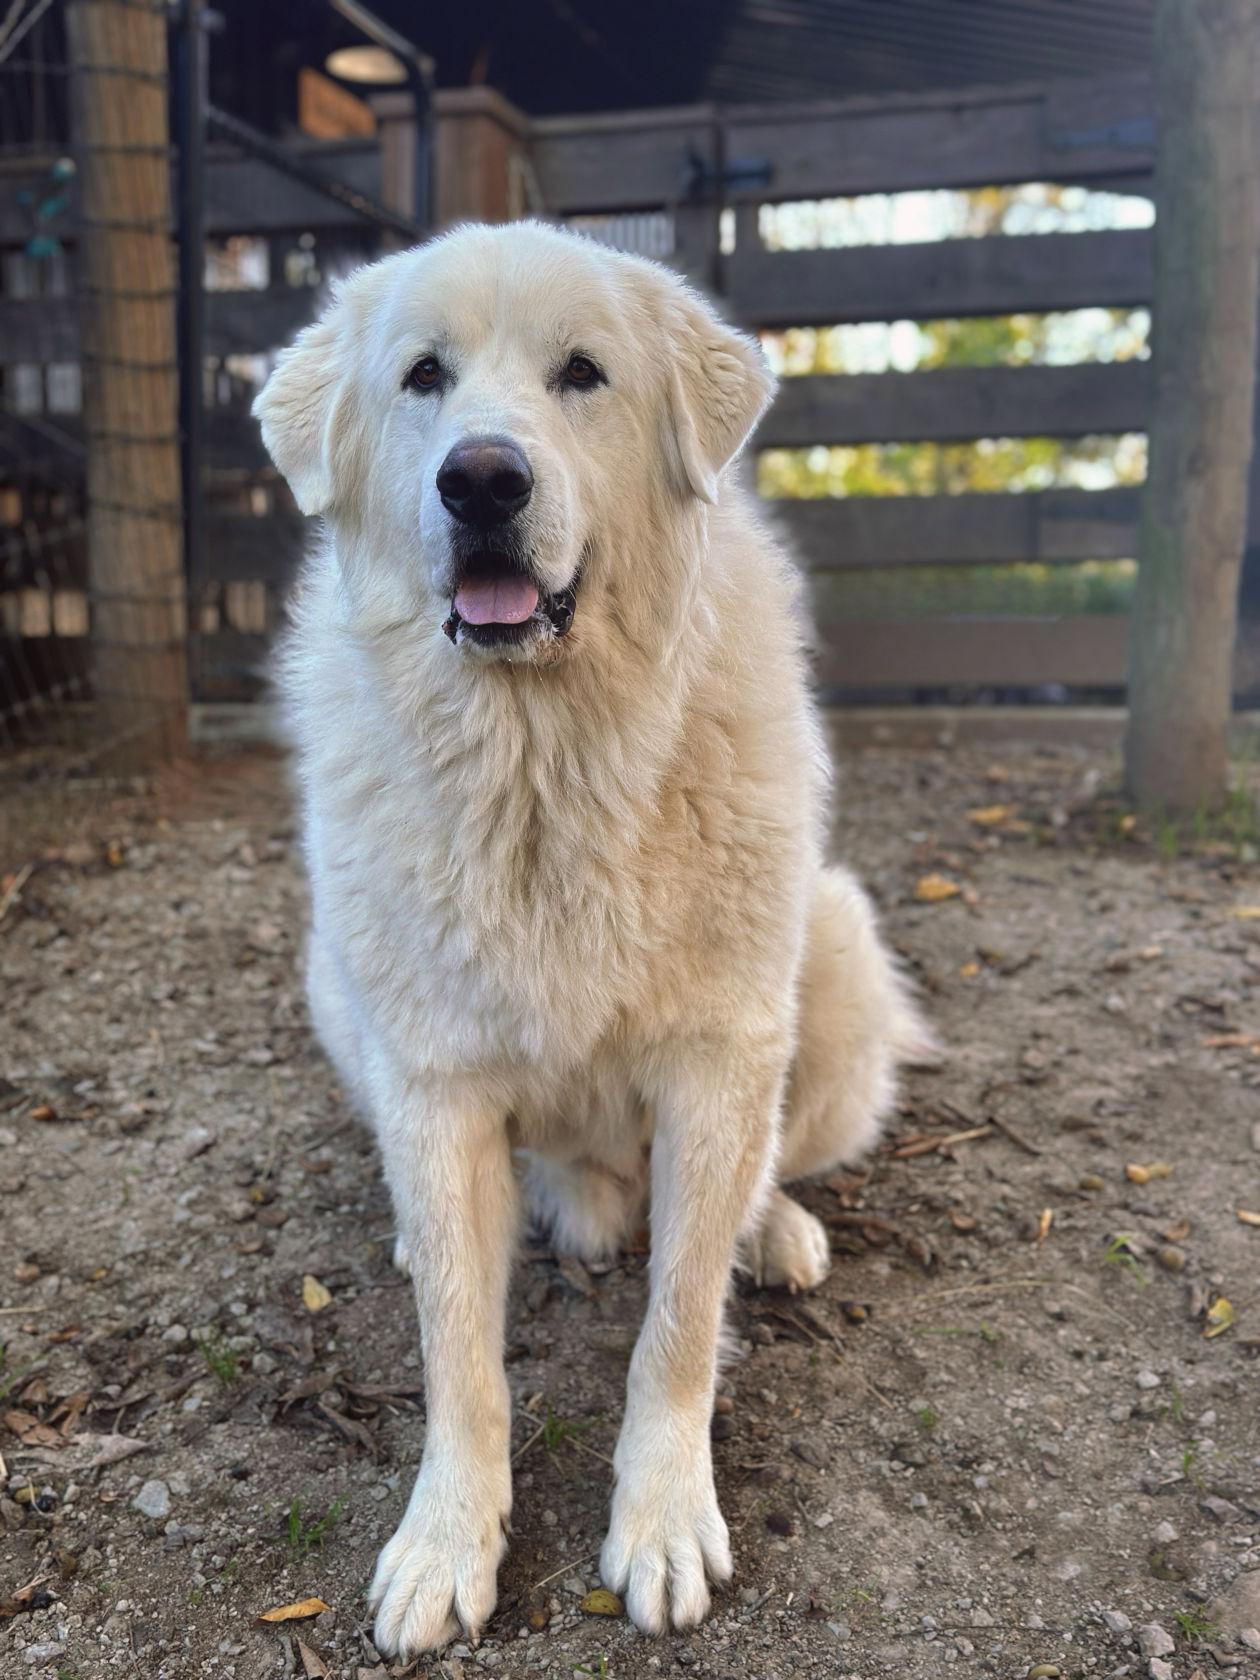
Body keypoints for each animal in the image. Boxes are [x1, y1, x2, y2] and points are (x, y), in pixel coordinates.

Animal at [257, 223, 927, 1666]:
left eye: (583, 374)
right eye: (424, 377)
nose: (482, 479)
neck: (542, 763)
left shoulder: (720, 1058)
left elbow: (678, 1325)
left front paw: (664, 1521)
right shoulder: (438, 1078)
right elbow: (459, 1351)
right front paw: (447, 1544)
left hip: (833, 951)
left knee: (749, 1186)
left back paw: (774, 1231)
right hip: (340, 983)